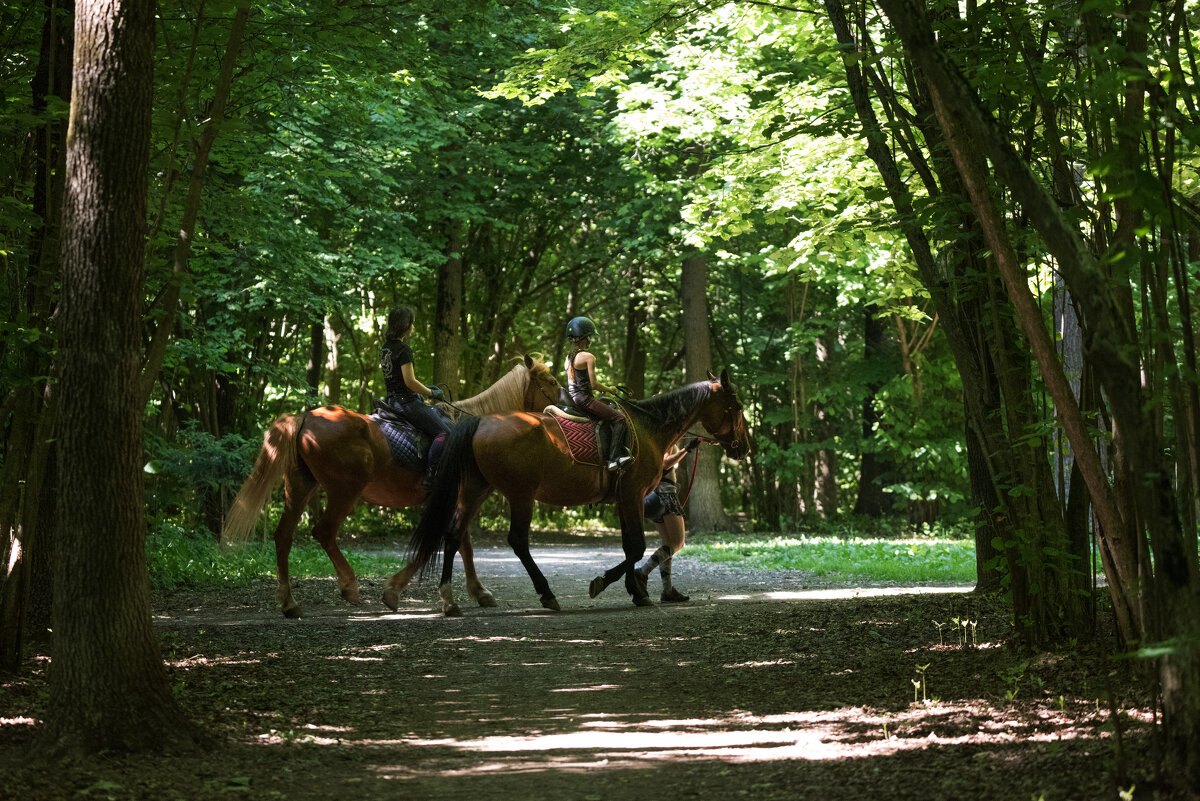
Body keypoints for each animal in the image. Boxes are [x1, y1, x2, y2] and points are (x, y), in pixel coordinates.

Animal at [219, 352, 556, 618]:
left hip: (301, 486)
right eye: (551, 381)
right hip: (344, 491)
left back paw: (289, 603)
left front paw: (477, 593)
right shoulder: (457, 498)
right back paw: (349, 587)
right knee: (323, 532)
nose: (560, 406)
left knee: (284, 536)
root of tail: (305, 418)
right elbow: (456, 541)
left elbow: (463, 543)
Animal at [391, 369, 748, 613]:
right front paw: (606, 584)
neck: (649, 429)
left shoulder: (624, 499)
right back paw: (546, 593)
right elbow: (635, 547)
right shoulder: (632, 495)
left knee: (453, 536)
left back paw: (449, 599)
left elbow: (630, 547)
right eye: (736, 407)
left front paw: (637, 590)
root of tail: (481, 422)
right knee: (517, 541)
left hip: (475, 492)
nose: (743, 448)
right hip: (520, 495)